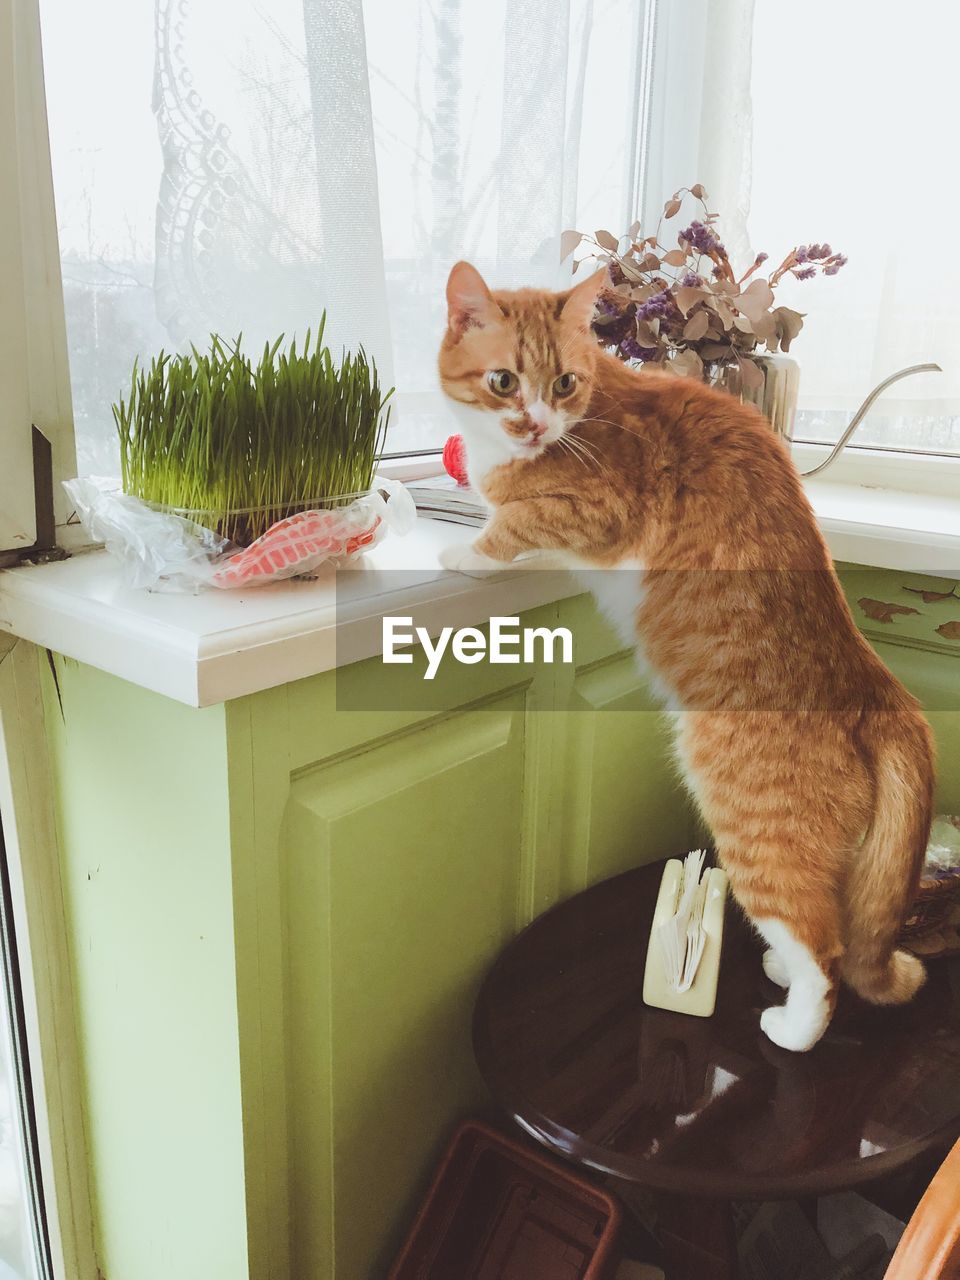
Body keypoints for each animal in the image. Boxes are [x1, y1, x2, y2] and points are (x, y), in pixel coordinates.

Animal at [442, 257, 942, 1049]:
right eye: (502, 381)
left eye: (564, 384)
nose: (536, 423)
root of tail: (874, 684)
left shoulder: (594, 511)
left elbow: (512, 523)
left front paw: (467, 551)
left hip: (752, 831)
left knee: (824, 951)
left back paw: (792, 1022)